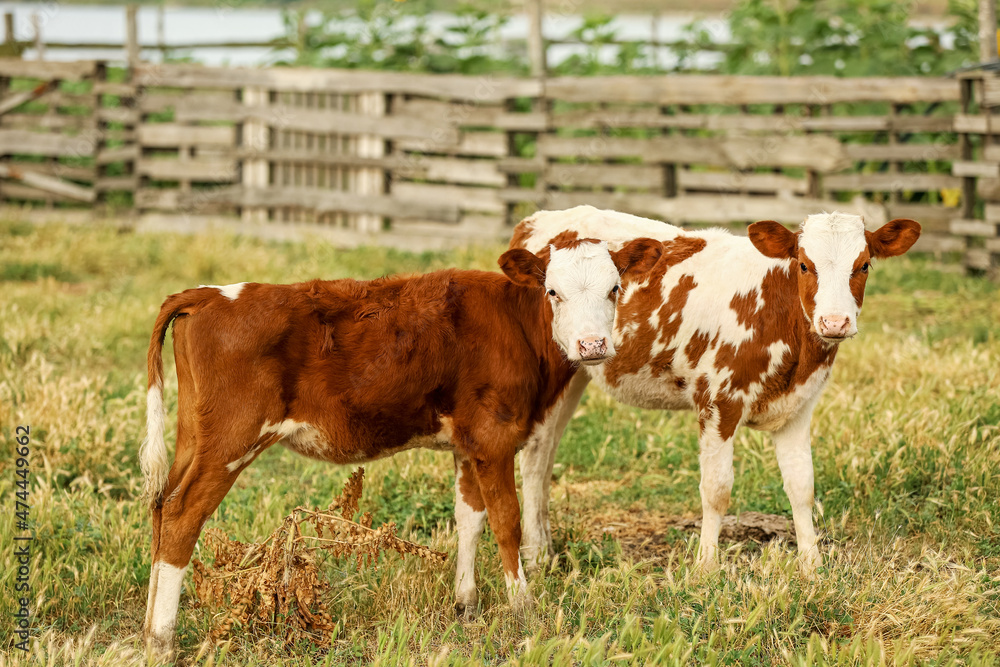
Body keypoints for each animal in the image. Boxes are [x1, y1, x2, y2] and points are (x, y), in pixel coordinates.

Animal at [500, 207, 920, 576]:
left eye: (864, 265)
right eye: (804, 264)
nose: (834, 322)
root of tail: (536, 220)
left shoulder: (799, 406)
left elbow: (802, 486)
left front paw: (812, 567)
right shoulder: (718, 402)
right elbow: (717, 490)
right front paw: (706, 569)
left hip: (579, 372)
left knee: (548, 451)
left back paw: (547, 546)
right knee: (536, 456)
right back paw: (536, 555)